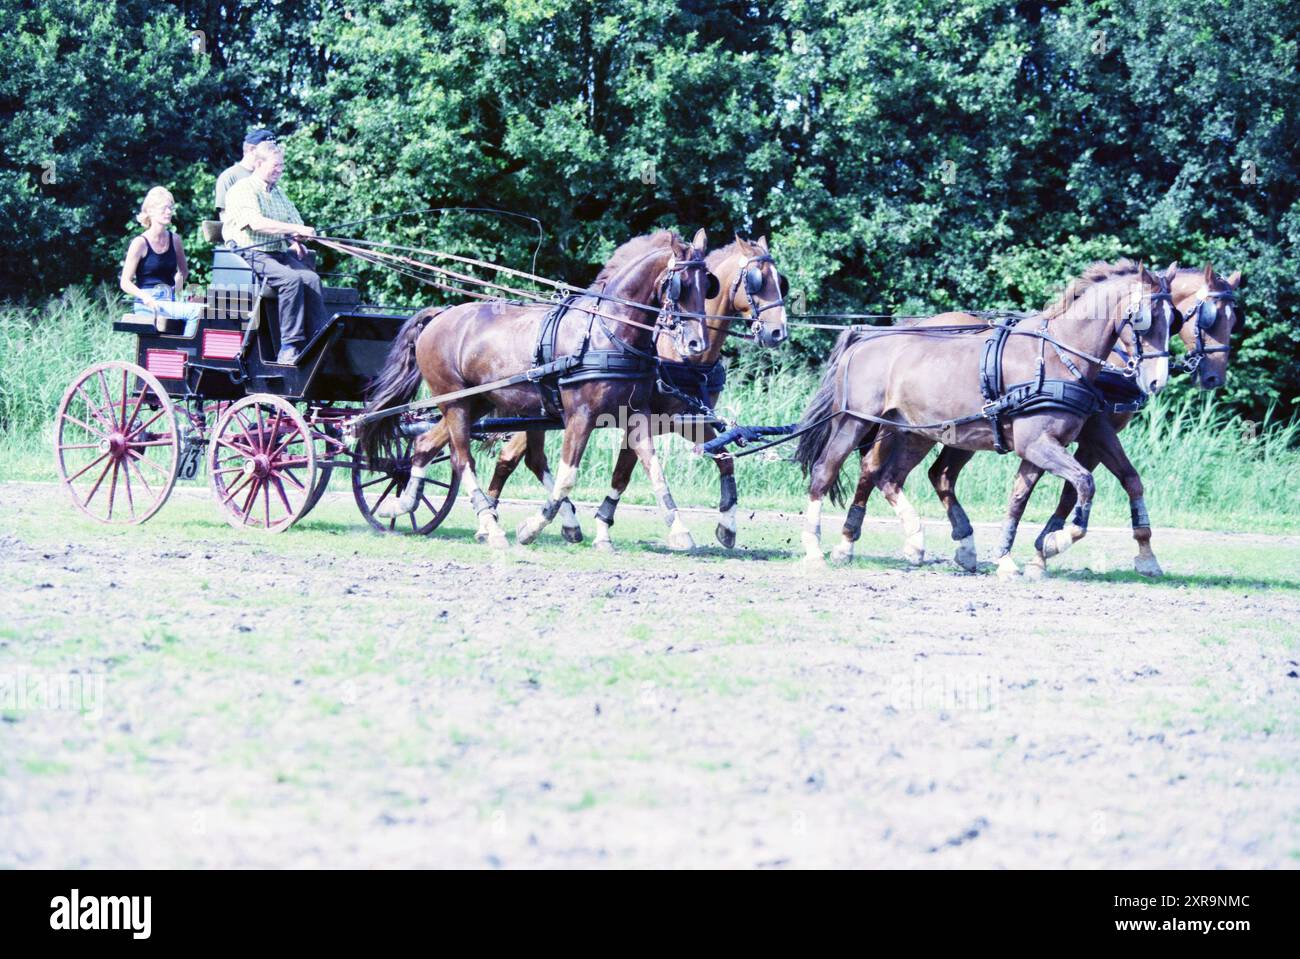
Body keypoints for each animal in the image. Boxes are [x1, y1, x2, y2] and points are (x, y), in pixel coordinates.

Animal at [356, 224, 717, 548]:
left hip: (475, 402)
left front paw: (679, 530)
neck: (607, 331)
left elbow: (653, 469)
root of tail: (440, 315)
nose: (697, 343)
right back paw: (490, 526)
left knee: (425, 445)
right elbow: (567, 476)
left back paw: (402, 503)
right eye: (681, 285)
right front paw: (532, 527)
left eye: (707, 285)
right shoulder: (581, 416)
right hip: (453, 401)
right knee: (462, 460)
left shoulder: (636, 414)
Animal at [473, 232, 785, 548]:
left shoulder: (686, 420)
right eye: (758, 281)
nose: (778, 332)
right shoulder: (648, 418)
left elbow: (725, 460)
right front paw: (604, 528)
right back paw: (491, 522)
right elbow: (623, 473)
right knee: (513, 458)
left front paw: (727, 525)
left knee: (528, 459)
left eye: (779, 281)